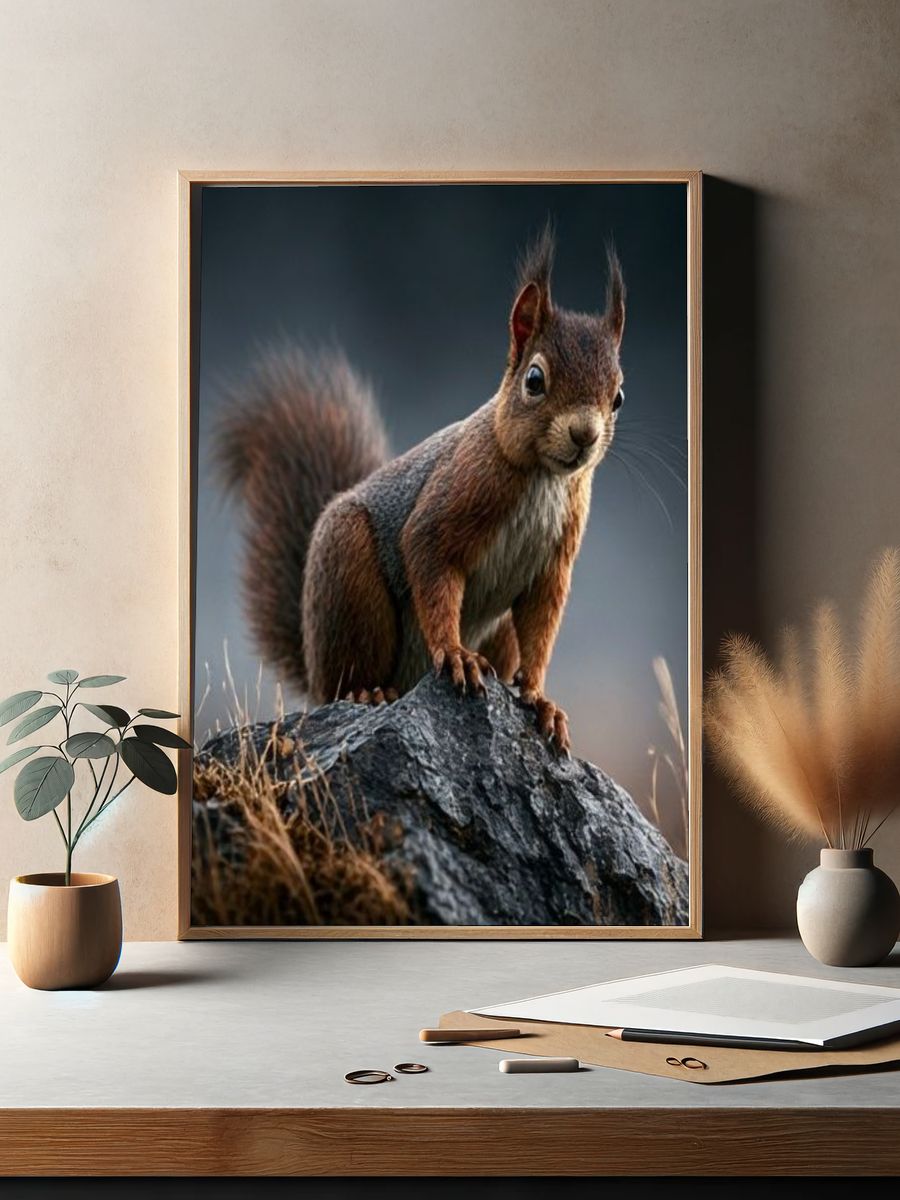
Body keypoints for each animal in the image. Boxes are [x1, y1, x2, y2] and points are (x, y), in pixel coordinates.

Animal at [216, 227, 625, 754]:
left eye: (618, 396)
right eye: (535, 380)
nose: (584, 435)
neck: (543, 479)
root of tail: (313, 664)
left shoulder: (555, 561)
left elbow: (541, 623)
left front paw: (539, 698)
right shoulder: (453, 500)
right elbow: (429, 561)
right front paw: (456, 654)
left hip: (497, 634)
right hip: (349, 577)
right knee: (350, 673)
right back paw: (368, 693)